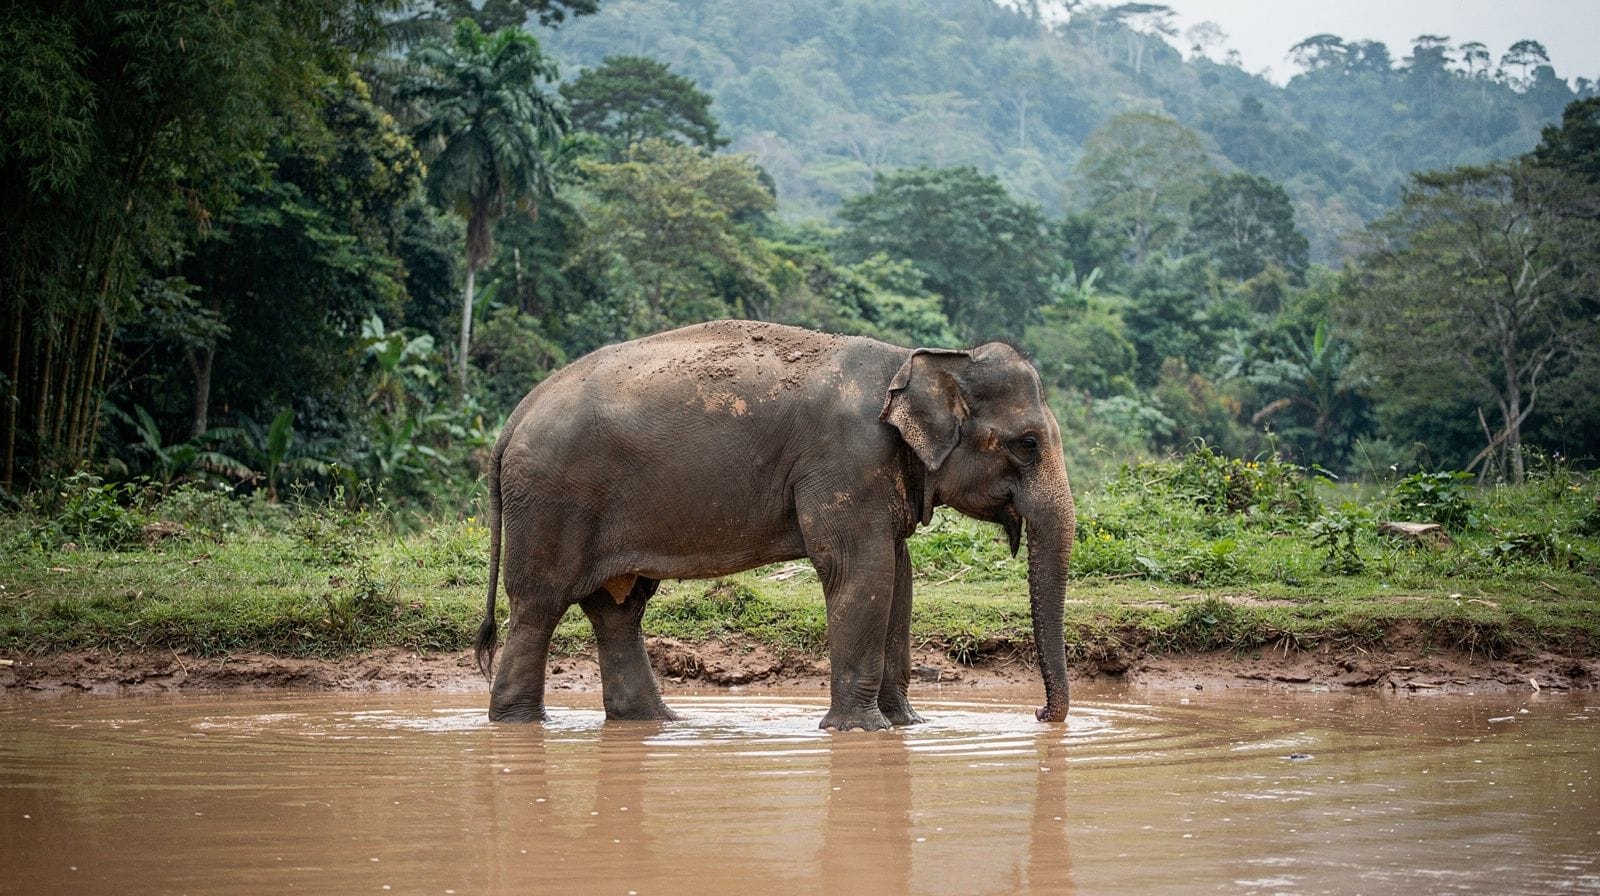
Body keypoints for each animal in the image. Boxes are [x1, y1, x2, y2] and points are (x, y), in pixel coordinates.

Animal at [474, 319, 1075, 731]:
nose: (1040, 715)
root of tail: (514, 418)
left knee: (617, 608)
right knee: (539, 607)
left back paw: (655, 723)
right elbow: (862, 572)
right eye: (1027, 445)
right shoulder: (846, 459)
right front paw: (860, 731)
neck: (910, 360)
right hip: (552, 502)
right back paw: (519, 725)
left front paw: (907, 726)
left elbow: (898, 577)